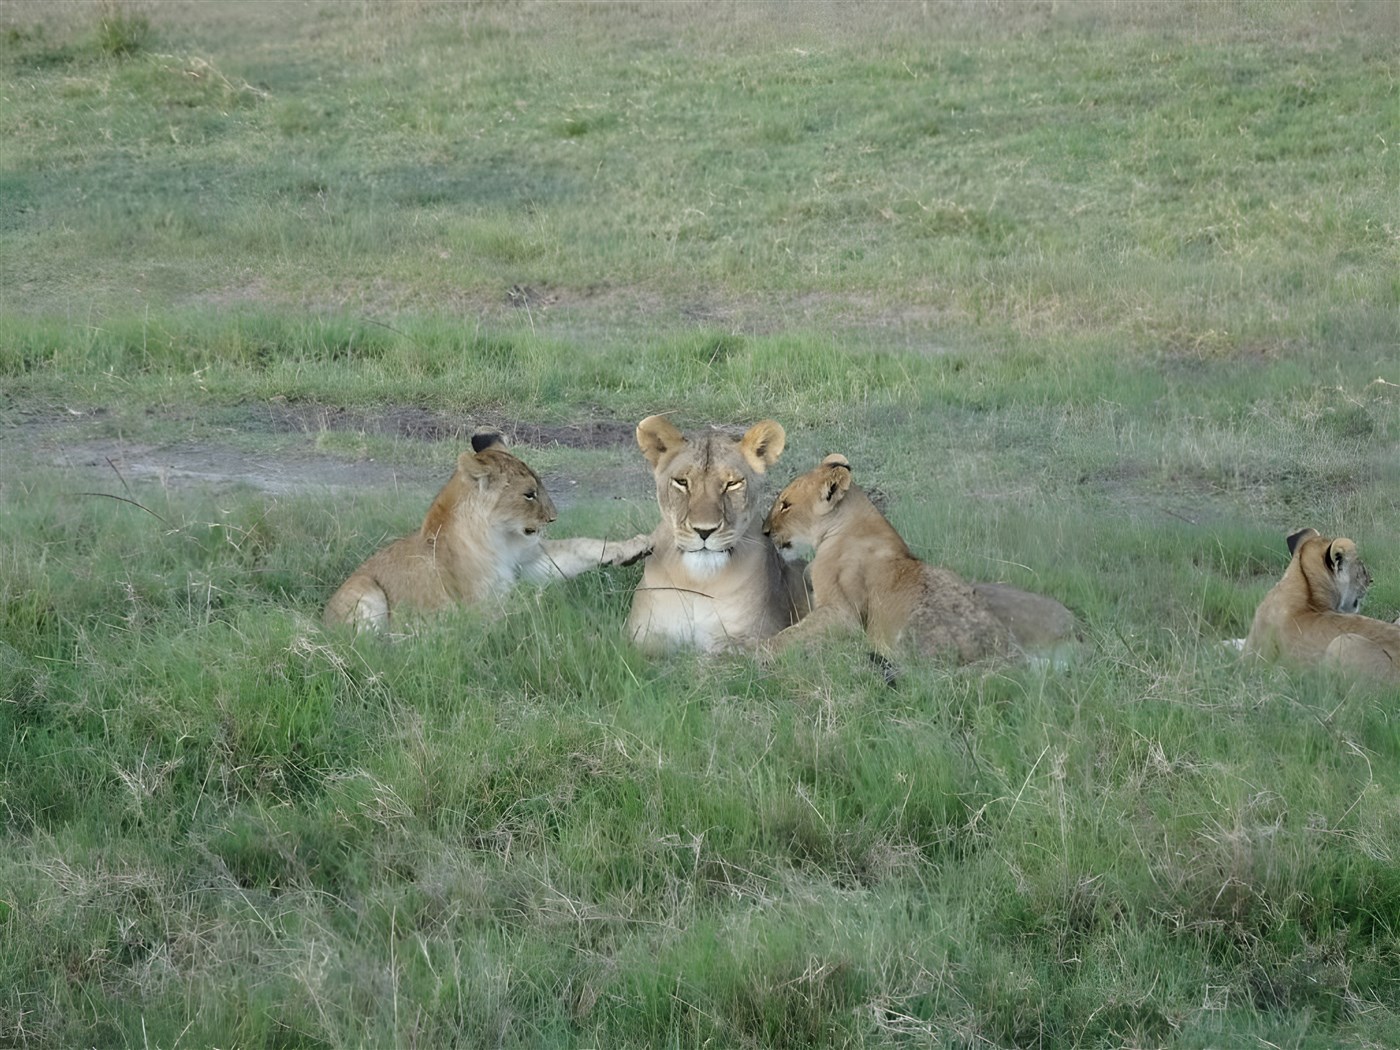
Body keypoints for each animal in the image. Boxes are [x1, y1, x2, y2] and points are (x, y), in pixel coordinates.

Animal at [324, 431, 652, 631]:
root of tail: (322, 622)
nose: (553, 518)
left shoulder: (528, 560)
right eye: (529, 494)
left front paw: (634, 547)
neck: (499, 537)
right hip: (365, 590)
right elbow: (521, 611)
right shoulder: (482, 608)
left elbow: (581, 547)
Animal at [625, 415, 810, 652]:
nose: (704, 531)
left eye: (732, 484)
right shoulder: (641, 635)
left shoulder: (753, 635)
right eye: (682, 482)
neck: (697, 582)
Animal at [762, 454, 1076, 663]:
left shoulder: (843, 613)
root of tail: (1005, 653)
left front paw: (755, 654)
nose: (764, 531)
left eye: (786, 504)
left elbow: (789, 635)